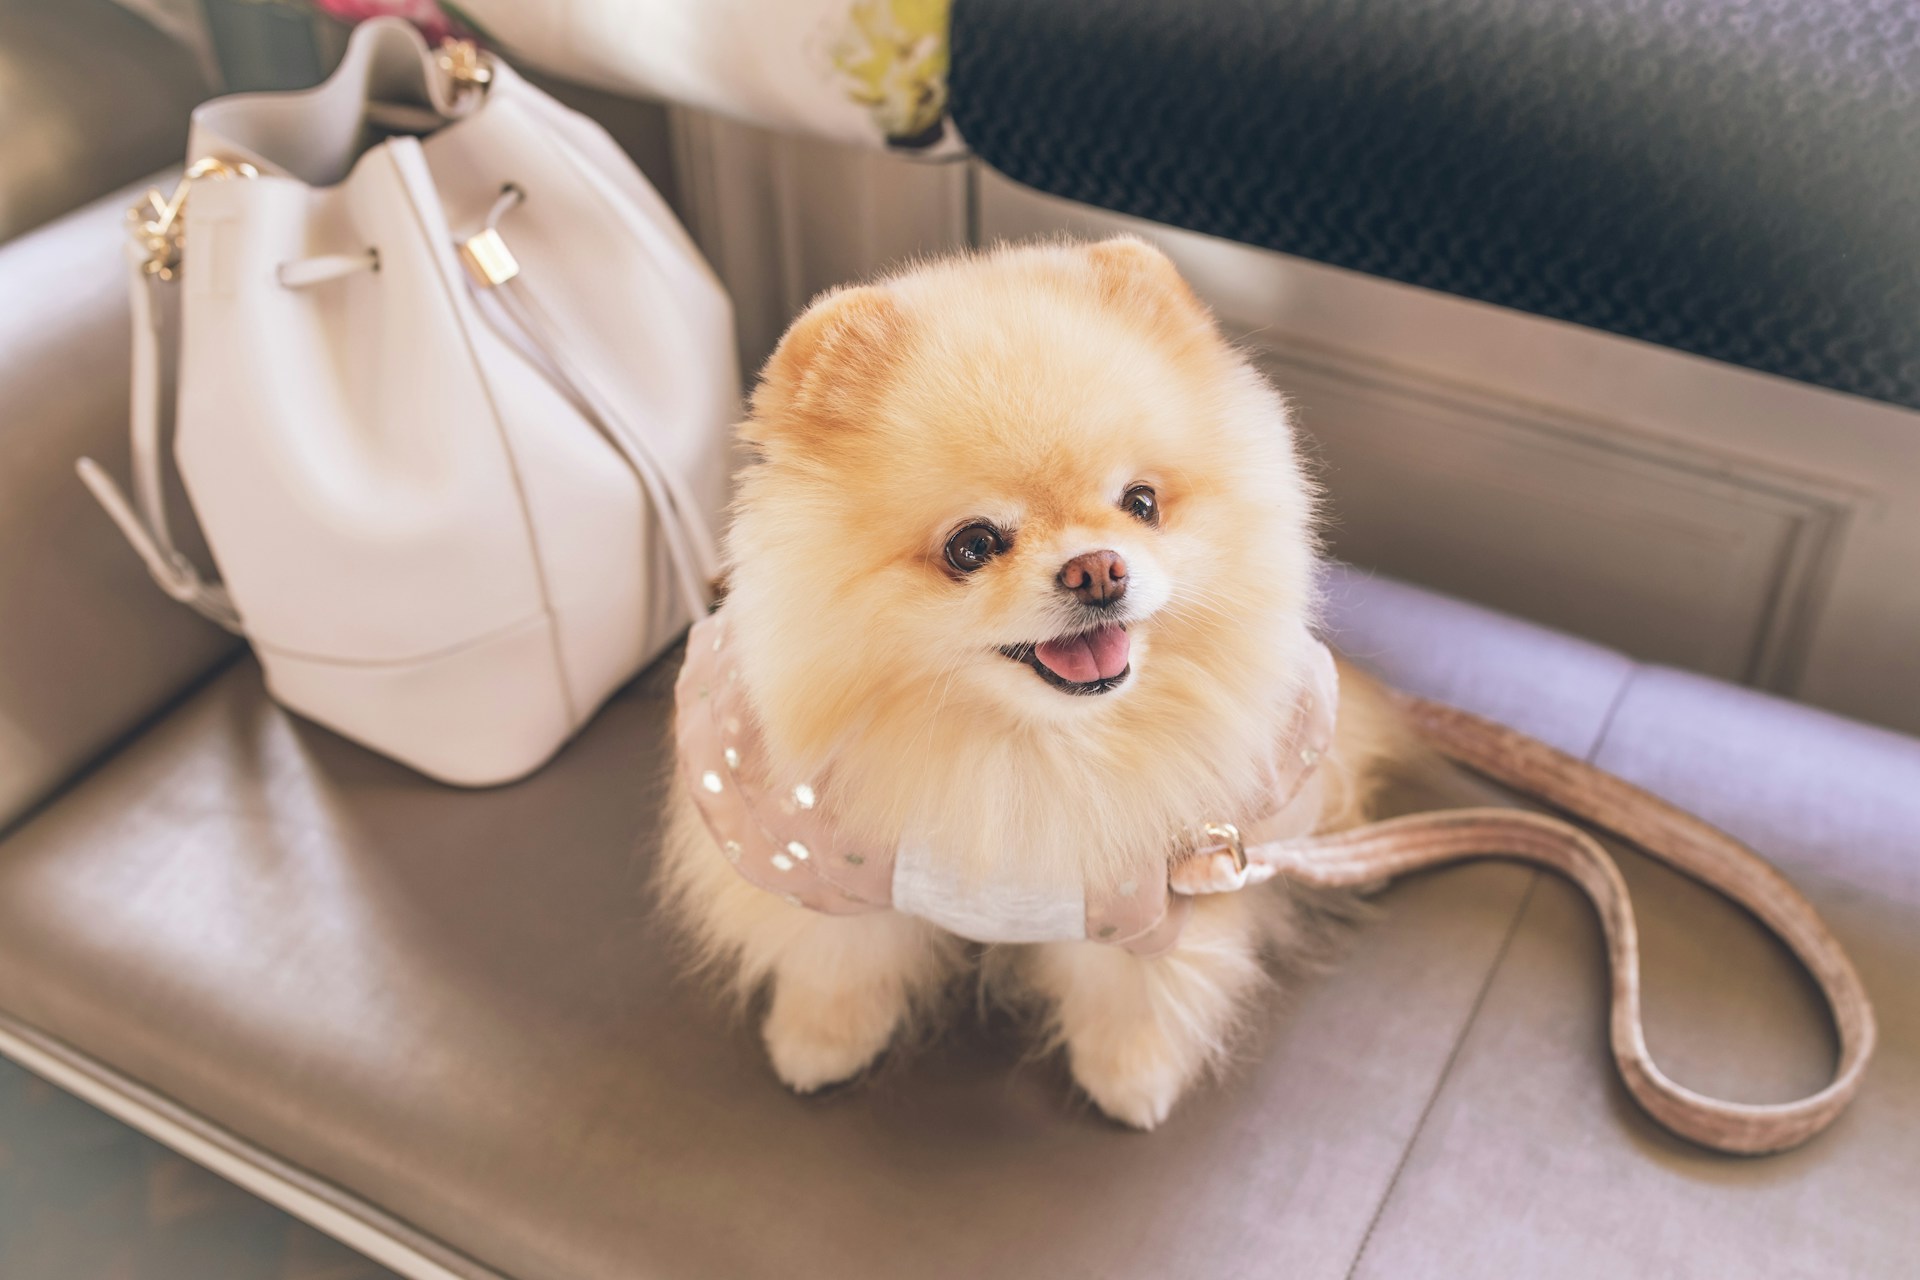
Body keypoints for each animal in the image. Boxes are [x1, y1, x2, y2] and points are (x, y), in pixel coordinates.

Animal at [652, 237, 1405, 1128]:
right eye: (972, 546)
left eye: (1141, 503)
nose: (1099, 569)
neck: (1026, 750)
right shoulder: (817, 868)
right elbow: (841, 960)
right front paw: (819, 1041)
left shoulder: (1154, 891)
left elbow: (1132, 992)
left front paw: (1130, 1077)